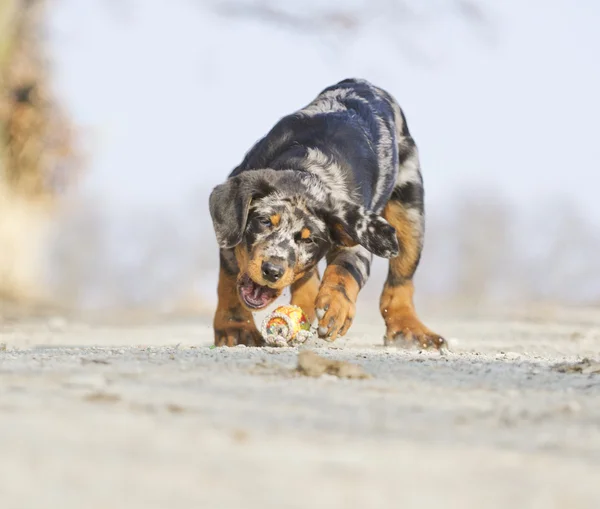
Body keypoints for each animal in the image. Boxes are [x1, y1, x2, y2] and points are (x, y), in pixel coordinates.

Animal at [209, 78, 442, 350]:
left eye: (309, 239)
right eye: (264, 221)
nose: (272, 271)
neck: (310, 170)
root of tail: (362, 81)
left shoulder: (358, 230)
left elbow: (345, 270)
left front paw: (335, 308)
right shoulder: (231, 232)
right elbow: (230, 280)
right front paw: (235, 329)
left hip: (409, 212)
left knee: (401, 281)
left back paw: (410, 329)